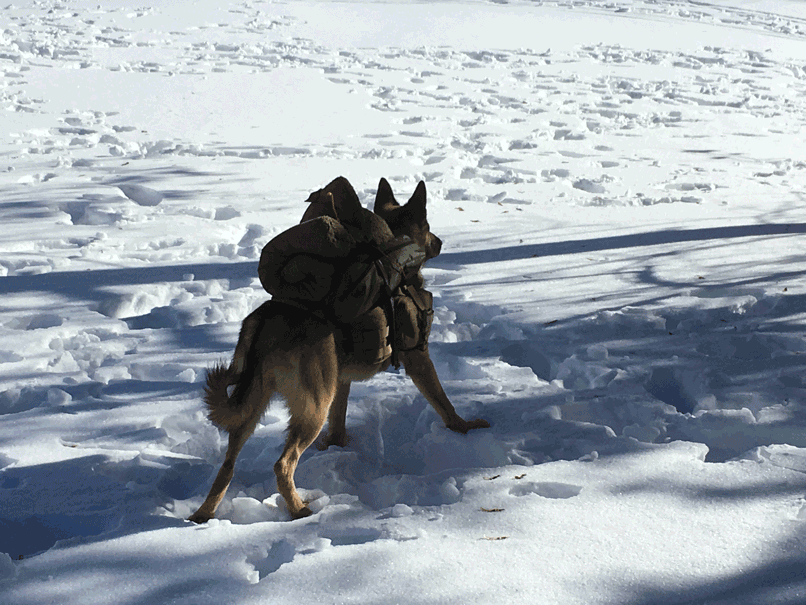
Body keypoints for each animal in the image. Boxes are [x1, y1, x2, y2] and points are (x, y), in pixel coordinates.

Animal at [191, 177, 492, 520]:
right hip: (312, 406)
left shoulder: (341, 380)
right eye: (428, 225)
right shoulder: (418, 358)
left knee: (227, 467)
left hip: (253, 405)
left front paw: (339, 445)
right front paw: (465, 428)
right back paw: (299, 509)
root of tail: (268, 321)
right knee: (283, 464)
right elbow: (444, 403)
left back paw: (203, 515)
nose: (440, 242)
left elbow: (339, 420)